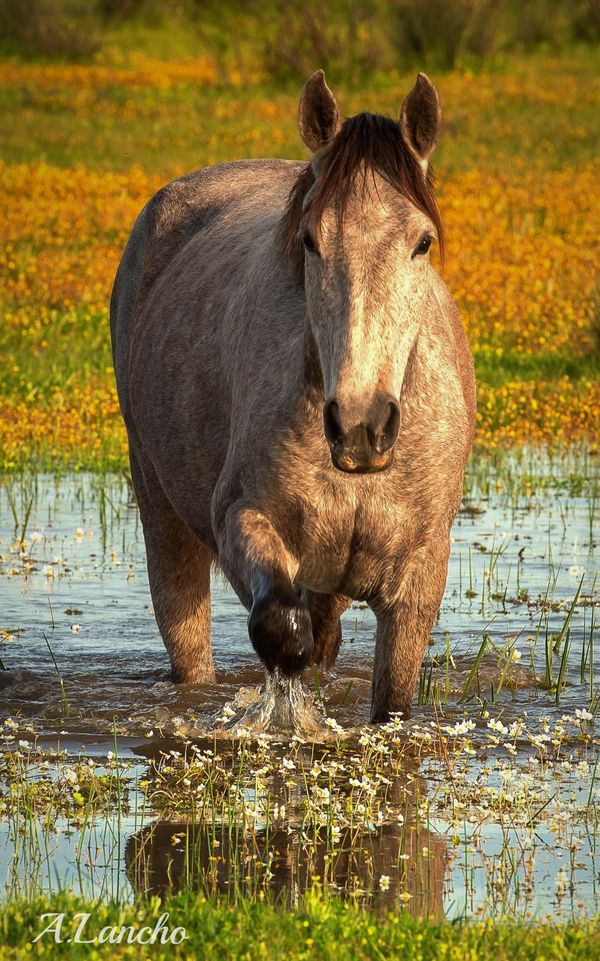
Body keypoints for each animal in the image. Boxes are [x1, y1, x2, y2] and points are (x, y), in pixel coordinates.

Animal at [110, 69, 476, 720]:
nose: (360, 425)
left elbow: (390, 700)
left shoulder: (418, 581)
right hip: (163, 519)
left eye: (422, 243)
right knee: (191, 647)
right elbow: (282, 631)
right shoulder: (242, 520)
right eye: (309, 240)